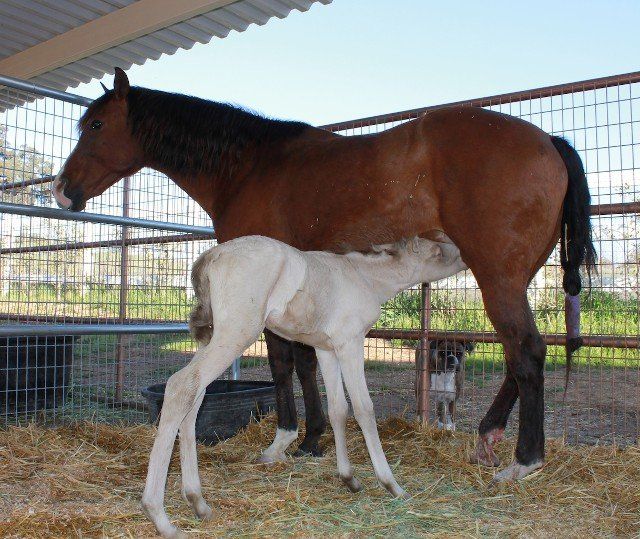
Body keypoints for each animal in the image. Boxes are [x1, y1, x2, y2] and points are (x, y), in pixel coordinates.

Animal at [53, 68, 596, 483]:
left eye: (96, 123)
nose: (62, 190)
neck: (249, 167)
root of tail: (548, 141)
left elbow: (283, 362)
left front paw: (290, 438)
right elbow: (306, 360)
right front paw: (314, 438)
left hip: (497, 279)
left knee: (526, 352)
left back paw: (524, 461)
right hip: (512, 279)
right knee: (518, 356)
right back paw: (488, 436)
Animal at [142, 235, 466, 537]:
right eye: (437, 252)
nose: (464, 256)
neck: (364, 277)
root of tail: (209, 256)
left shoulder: (326, 348)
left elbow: (338, 409)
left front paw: (349, 478)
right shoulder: (350, 342)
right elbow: (364, 409)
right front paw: (392, 485)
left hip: (214, 337)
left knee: (195, 395)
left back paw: (197, 502)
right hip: (236, 332)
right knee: (181, 385)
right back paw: (160, 517)